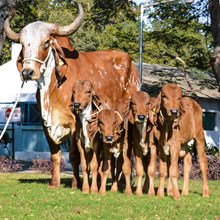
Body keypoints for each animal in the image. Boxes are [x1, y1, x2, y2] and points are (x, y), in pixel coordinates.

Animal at [3, 4, 139, 188]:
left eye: (46, 43)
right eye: (23, 44)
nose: (27, 72)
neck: (53, 88)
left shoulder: (75, 124)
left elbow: (74, 156)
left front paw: (76, 183)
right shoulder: (45, 123)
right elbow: (55, 156)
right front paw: (54, 182)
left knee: (125, 151)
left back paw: (126, 181)